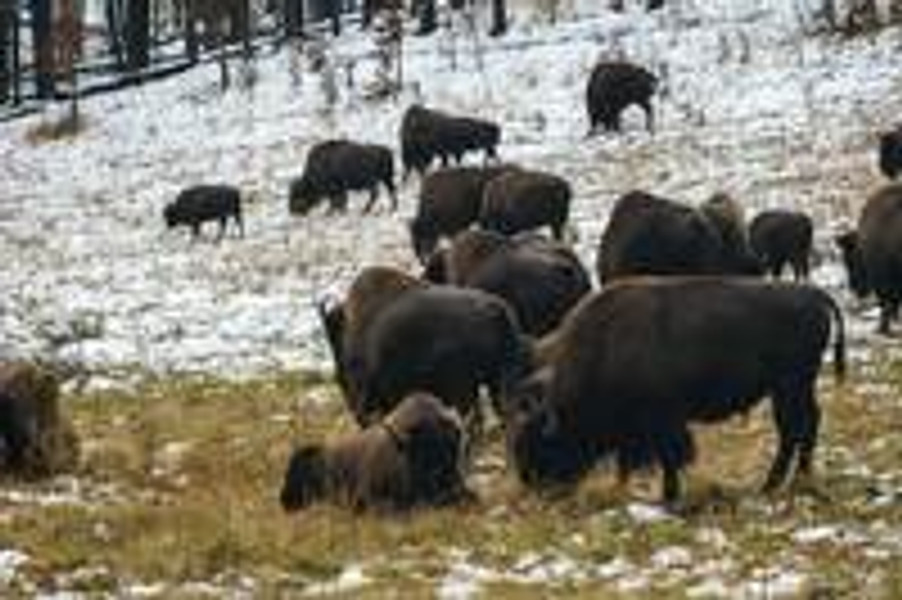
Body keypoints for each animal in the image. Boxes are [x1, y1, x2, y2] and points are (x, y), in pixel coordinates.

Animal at [505, 278, 846, 504]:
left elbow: (670, 457)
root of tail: (815, 296)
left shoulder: (662, 421)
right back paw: (792, 480)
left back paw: (775, 484)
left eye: (542, 446)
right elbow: (638, 460)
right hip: (791, 387)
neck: (604, 350)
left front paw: (668, 496)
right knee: (805, 424)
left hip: (790, 385)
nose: (534, 487)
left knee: (795, 428)